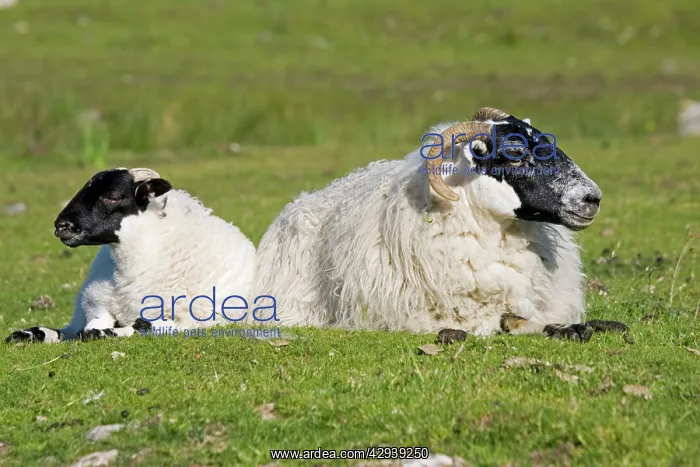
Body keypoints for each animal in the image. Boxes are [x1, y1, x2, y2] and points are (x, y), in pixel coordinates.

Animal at [5, 168, 257, 343]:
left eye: (112, 195)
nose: (61, 226)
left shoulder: (183, 321)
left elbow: (140, 327)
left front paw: (104, 334)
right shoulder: (96, 302)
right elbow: (92, 324)